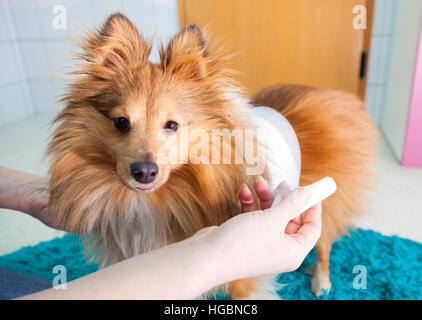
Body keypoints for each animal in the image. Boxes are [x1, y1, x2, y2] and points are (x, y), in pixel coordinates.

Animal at [47, 13, 378, 298]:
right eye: (121, 122)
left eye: (171, 125)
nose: (144, 171)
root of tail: (323, 93)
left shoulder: (245, 277)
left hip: (328, 201)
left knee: (324, 245)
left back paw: (321, 281)